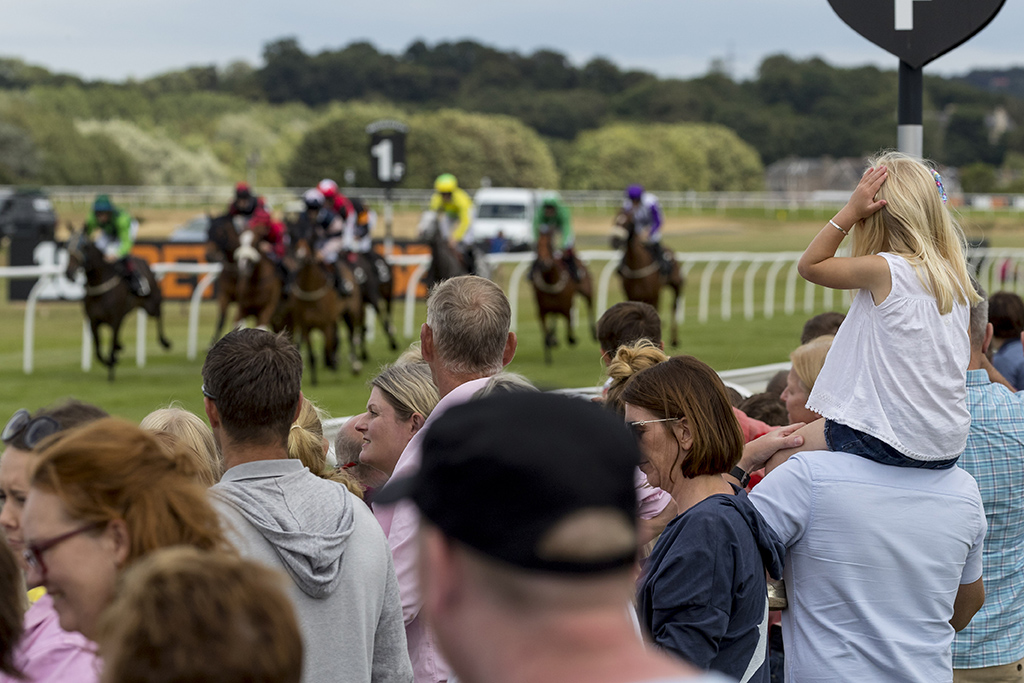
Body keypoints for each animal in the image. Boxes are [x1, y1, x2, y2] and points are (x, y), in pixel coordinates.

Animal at [66, 232, 171, 382]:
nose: (68, 272)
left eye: (83, 246)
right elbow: (98, 351)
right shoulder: (93, 321)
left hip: (151, 303)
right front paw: (112, 360)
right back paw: (120, 346)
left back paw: (165, 342)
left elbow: (110, 347)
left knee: (159, 314)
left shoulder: (114, 320)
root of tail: (144, 261)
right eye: (66, 246)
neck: (99, 283)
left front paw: (111, 370)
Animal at [205, 214, 282, 344]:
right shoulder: (233, 301)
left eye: (221, 233)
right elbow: (224, 320)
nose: (210, 255)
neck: (255, 281)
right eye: (207, 232)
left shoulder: (267, 308)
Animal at [532, 232, 598, 366]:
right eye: (536, 245)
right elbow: (546, 335)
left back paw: (593, 332)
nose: (544, 263)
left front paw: (572, 339)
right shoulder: (542, 311)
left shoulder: (567, 309)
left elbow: (569, 336)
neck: (551, 281)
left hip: (587, 290)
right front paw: (549, 351)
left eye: (550, 245)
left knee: (589, 305)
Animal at [610, 209, 684, 348]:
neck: (637, 265)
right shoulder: (631, 296)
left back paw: (675, 340)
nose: (615, 241)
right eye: (614, 220)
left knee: (674, 306)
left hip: (676, 286)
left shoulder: (654, 296)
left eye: (629, 223)